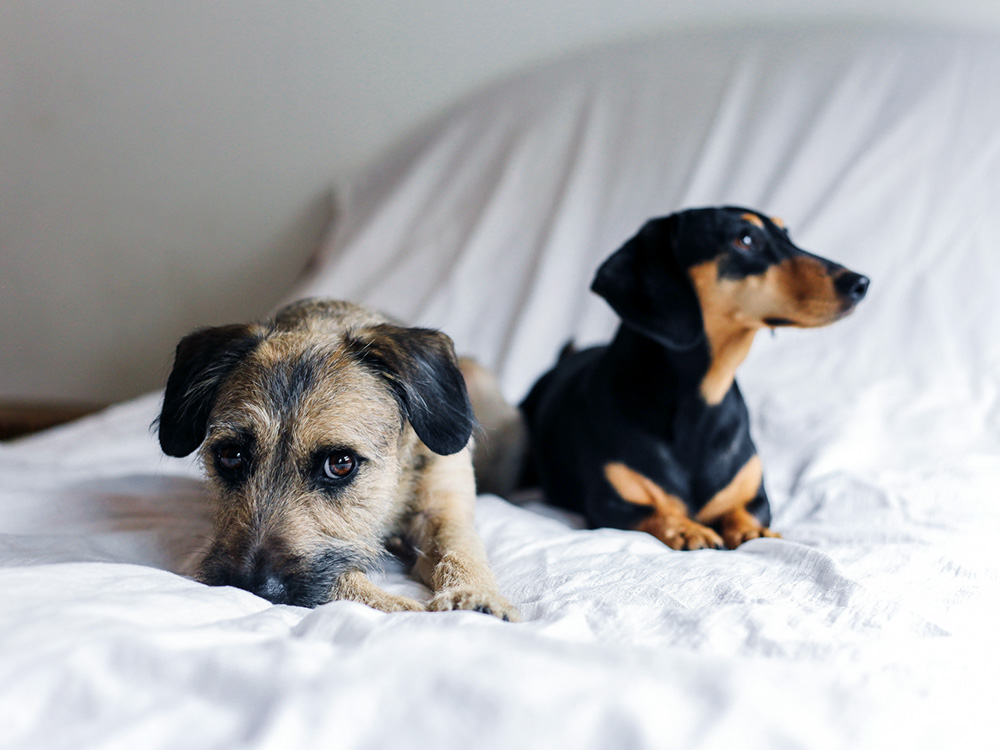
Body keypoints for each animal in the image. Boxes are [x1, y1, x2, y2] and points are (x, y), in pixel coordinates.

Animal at [158, 300, 516, 624]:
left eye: (341, 463)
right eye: (231, 456)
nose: (250, 586)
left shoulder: (443, 505)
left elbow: (459, 548)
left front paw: (475, 597)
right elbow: (341, 578)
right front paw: (403, 608)